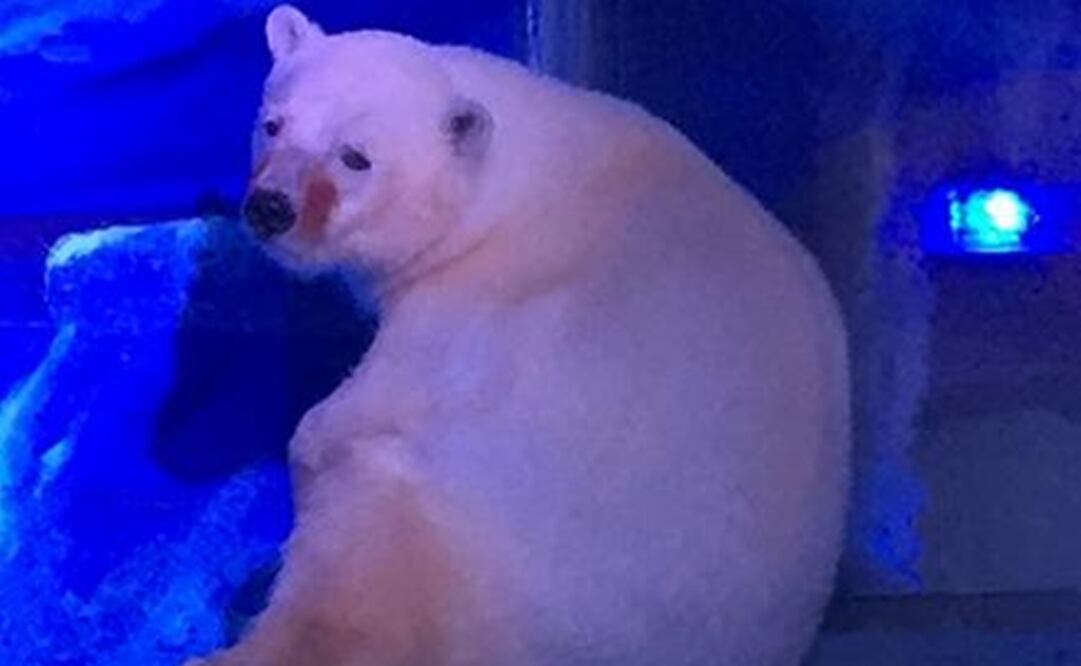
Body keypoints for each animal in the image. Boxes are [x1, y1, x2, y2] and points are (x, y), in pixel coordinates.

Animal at [187, 5, 850, 665]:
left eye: (356, 157)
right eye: (273, 124)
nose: (271, 207)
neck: (527, 178)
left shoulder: (476, 303)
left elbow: (376, 401)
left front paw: (308, 445)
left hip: (459, 535)